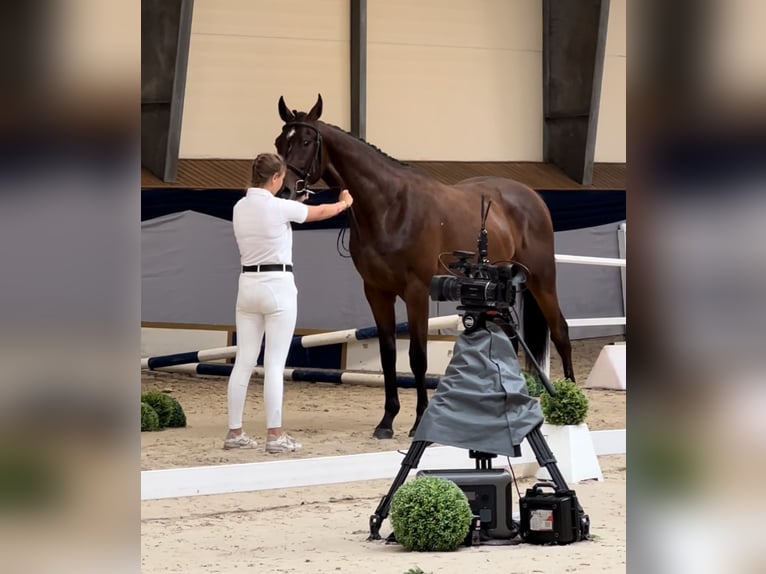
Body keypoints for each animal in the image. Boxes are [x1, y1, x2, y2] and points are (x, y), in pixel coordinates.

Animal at [274, 94, 574, 439]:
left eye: (307, 141)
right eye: (280, 142)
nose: (284, 191)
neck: (390, 208)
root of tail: (531, 196)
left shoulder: (416, 291)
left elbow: (417, 355)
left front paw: (420, 420)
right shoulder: (376, 292)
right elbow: (388, 353)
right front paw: (386, 421)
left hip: (541, 278)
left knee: (560, 330)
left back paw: (569, 403)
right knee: (510, 340)